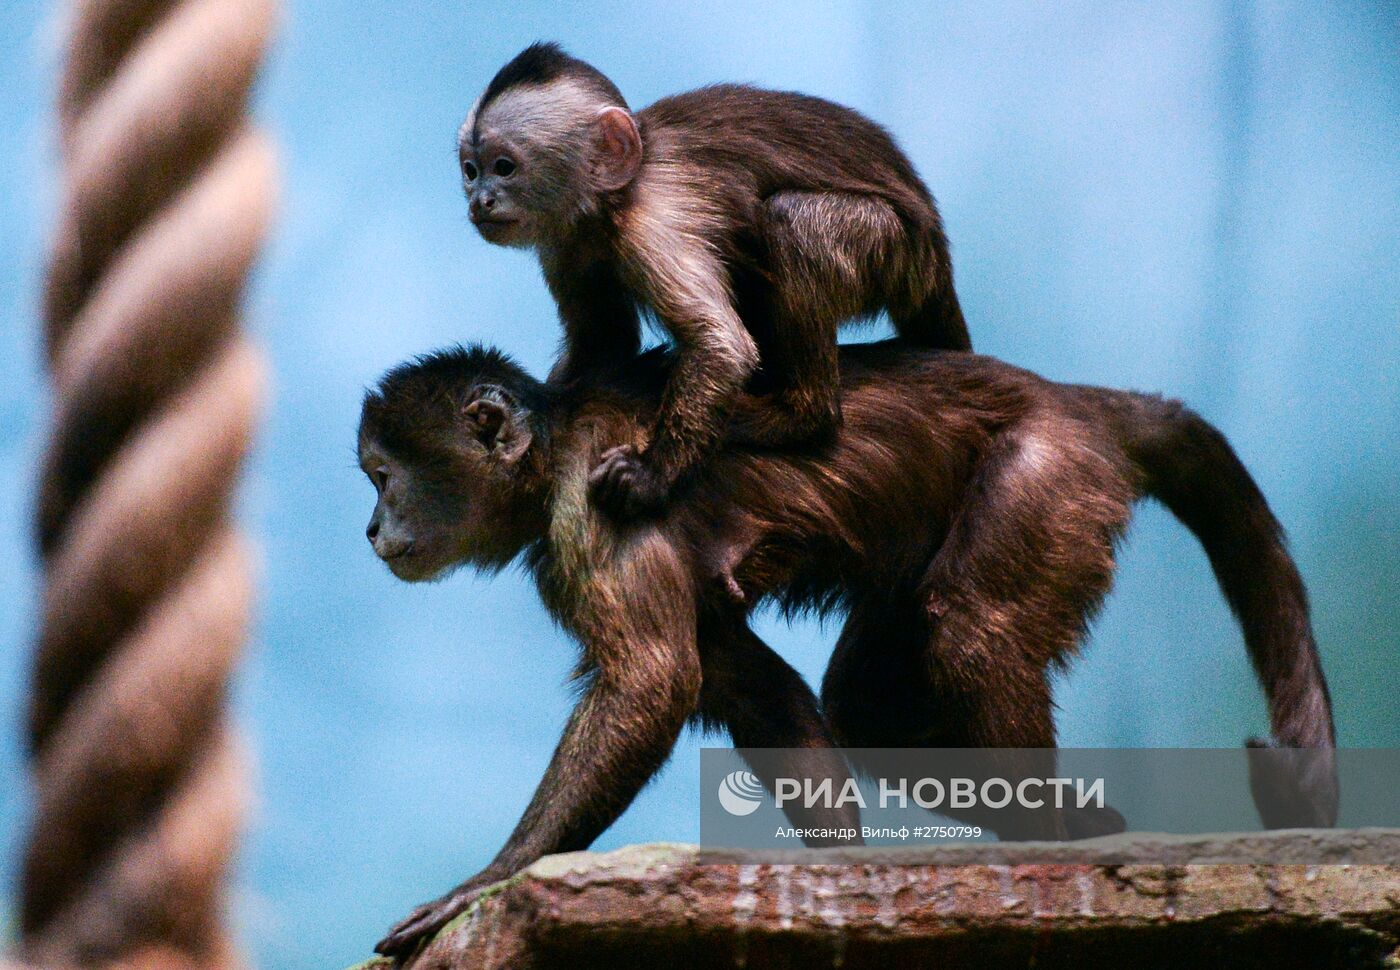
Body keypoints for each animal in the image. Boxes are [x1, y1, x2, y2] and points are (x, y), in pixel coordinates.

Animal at [358, 340, 1332, 951]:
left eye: (384, 477)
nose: (371, 526)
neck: (555, 445)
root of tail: (1069, 398)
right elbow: (751, 689)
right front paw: (840, 880)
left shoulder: (591, 506)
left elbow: (652, 683)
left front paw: (488, 878)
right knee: (865, 706)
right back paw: (1078, 824)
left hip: (1051, 474)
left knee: (973, 627)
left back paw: (1047, 848)